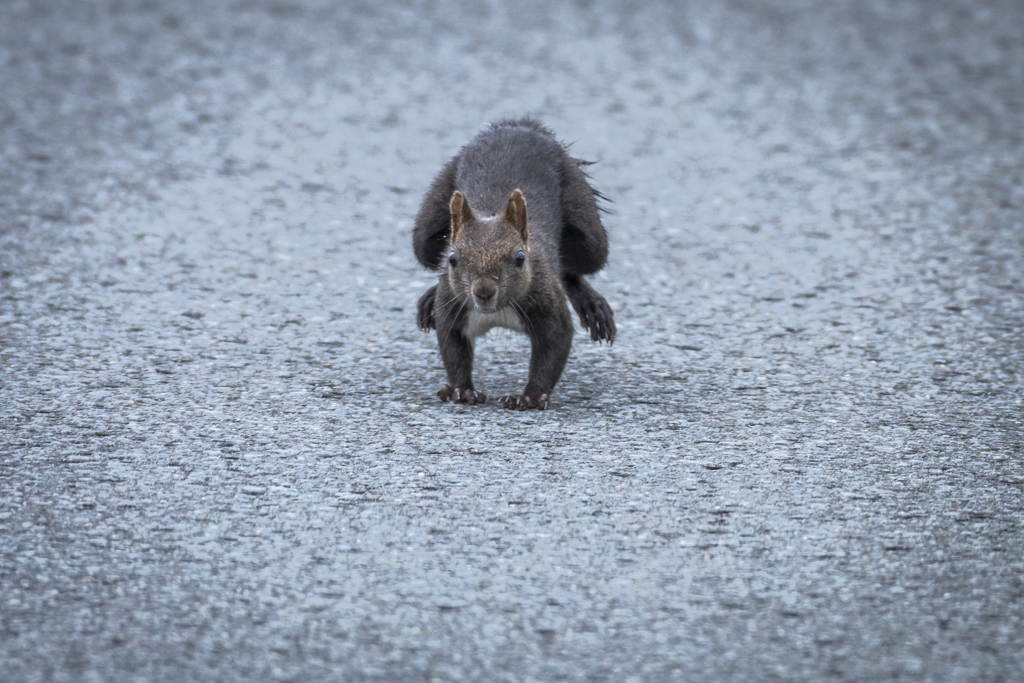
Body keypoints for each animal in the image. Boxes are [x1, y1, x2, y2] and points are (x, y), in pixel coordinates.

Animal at [409, 118, 614, 411]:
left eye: (520, 258)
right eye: (453, 259)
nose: (483, 291)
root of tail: (518, 127)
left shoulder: (547, 302)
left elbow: (553, 349)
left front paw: (529, 397)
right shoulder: (452, 305)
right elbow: (453, 349)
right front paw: (462, 390)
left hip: (588, 233)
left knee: (573, 268)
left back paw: (593, 306)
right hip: (426, 229)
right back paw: (429, 297)